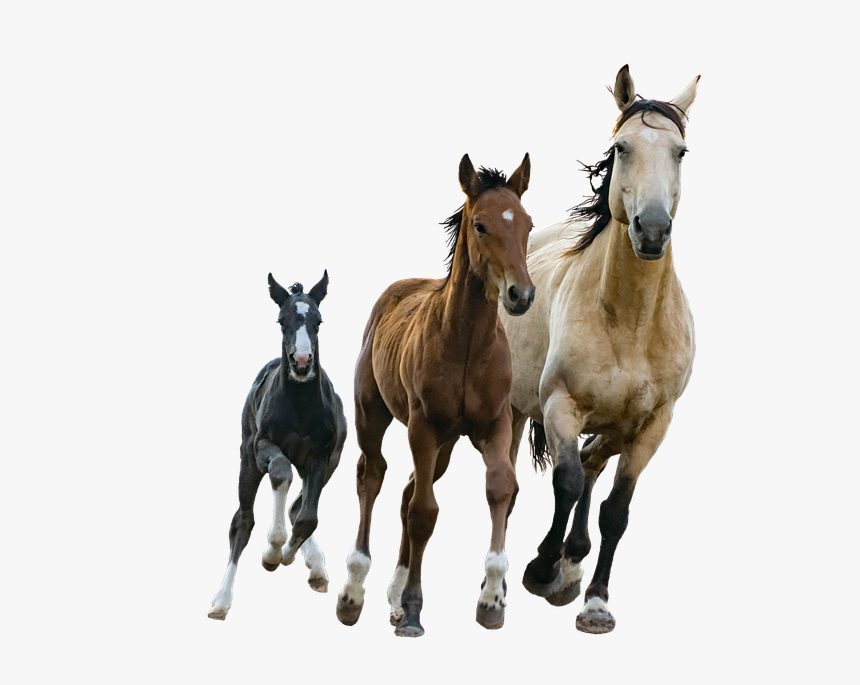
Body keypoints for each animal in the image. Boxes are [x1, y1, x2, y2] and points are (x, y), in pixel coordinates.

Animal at [208, 271, 347, 620]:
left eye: (318, 320)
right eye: (282, 320)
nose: (302, 361)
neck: (300, 405)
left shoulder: (322, 457)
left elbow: (308, 517)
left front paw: (287, 553)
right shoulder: (262, 447)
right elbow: (281, 472)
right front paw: (272, 550)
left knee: (299, 507)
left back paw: (316, 567)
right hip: (247, 460)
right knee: (242, 521)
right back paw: (221, 600)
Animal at [335, 154, 534, 637]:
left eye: (528, 224)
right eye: (480, 225)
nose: (521, 294)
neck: (465, 345)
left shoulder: (495, 424)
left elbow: (501, 487)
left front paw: (491, 601)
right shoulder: (423, 426)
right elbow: (424, 513)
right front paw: (411, 608)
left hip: (445, 444)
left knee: (407, 489)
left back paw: (391, 595)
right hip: (374, 415)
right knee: (373, 475)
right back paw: (354, 592)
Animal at [500, 65, 700, 633]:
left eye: (680, 151)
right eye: (622, 147)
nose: (651, 230)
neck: (630, 323)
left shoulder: (652, 425)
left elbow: (616, 509)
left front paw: (594, 602)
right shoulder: (560, 404)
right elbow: (565, 481)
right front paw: (541, 568)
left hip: (616, 423)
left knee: (593, 461)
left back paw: (574, 560)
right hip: (516, 409)